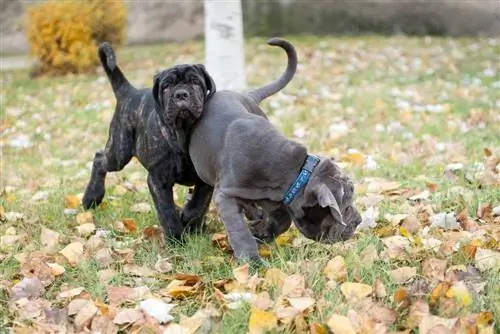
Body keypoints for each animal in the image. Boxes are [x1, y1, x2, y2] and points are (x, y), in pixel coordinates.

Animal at [189, 42, 362, 264]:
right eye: (345, 207)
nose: (358, 221)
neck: (292, 170)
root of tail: (246, 94)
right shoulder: (225, 194)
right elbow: (239, 229)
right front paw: (251, 261)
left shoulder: (275, 198)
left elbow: (283, 220)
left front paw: (261, 232)